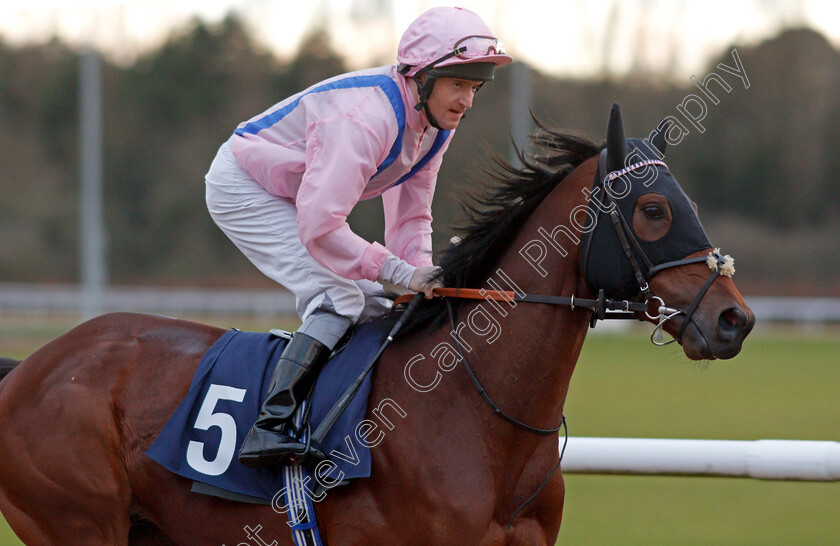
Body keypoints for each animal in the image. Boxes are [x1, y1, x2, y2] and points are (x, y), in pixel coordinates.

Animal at [0, 104, 752, 540]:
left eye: (685, 203)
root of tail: (32, 366)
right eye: (653, 210)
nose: (735, 319)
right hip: (78, 520)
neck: (475, 412)